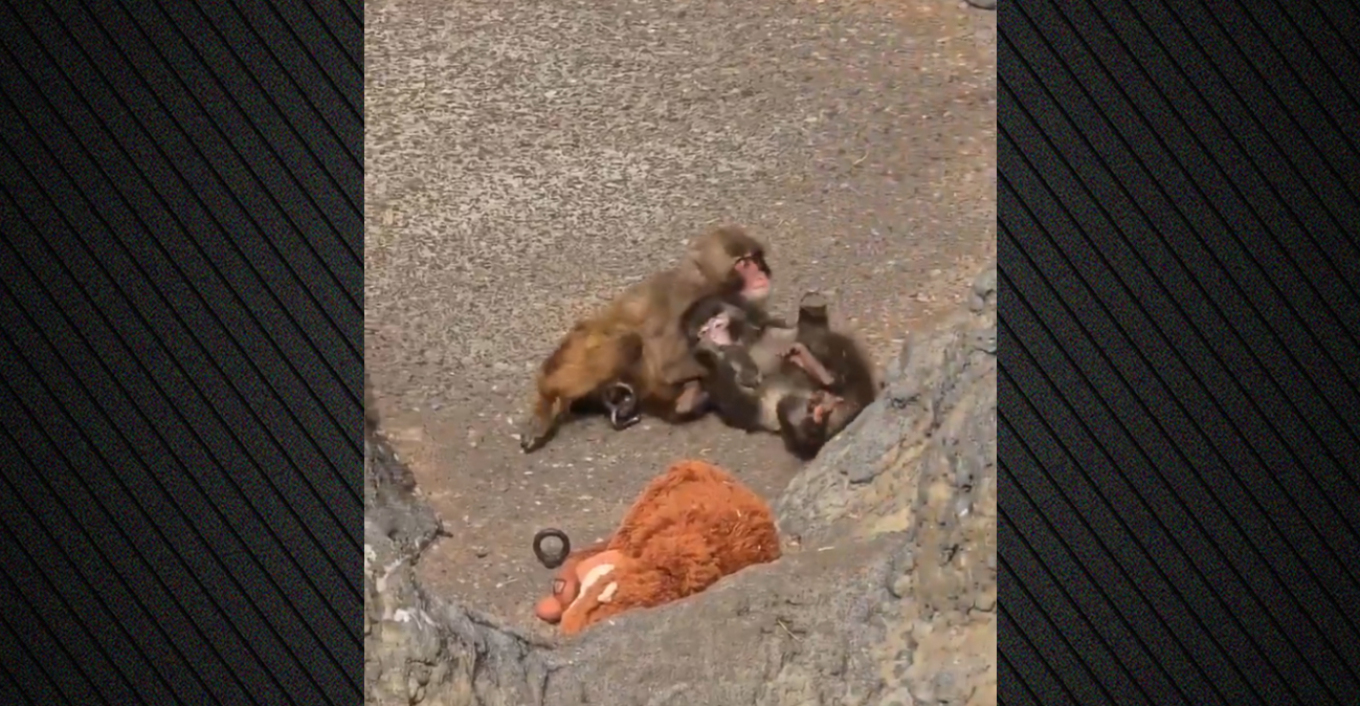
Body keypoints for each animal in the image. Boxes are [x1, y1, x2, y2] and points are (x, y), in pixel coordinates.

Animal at [518, 226, 777, 453]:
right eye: (744, 264)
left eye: (756, 259)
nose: (761, 274)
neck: (707, 282)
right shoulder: (692, 303)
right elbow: (671, 367)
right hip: (579, 348)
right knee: (629, 342)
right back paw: (547, 399)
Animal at [682, 291, 878, 459]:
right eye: (703, 331)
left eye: (718, 324)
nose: (713, 337)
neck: (747, 342)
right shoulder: (712, 379)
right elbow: (744, 406)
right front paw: (725, 354)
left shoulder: (772, 328)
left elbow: (810, 333)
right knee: (788, 409)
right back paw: (812, 419)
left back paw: (818, 369)